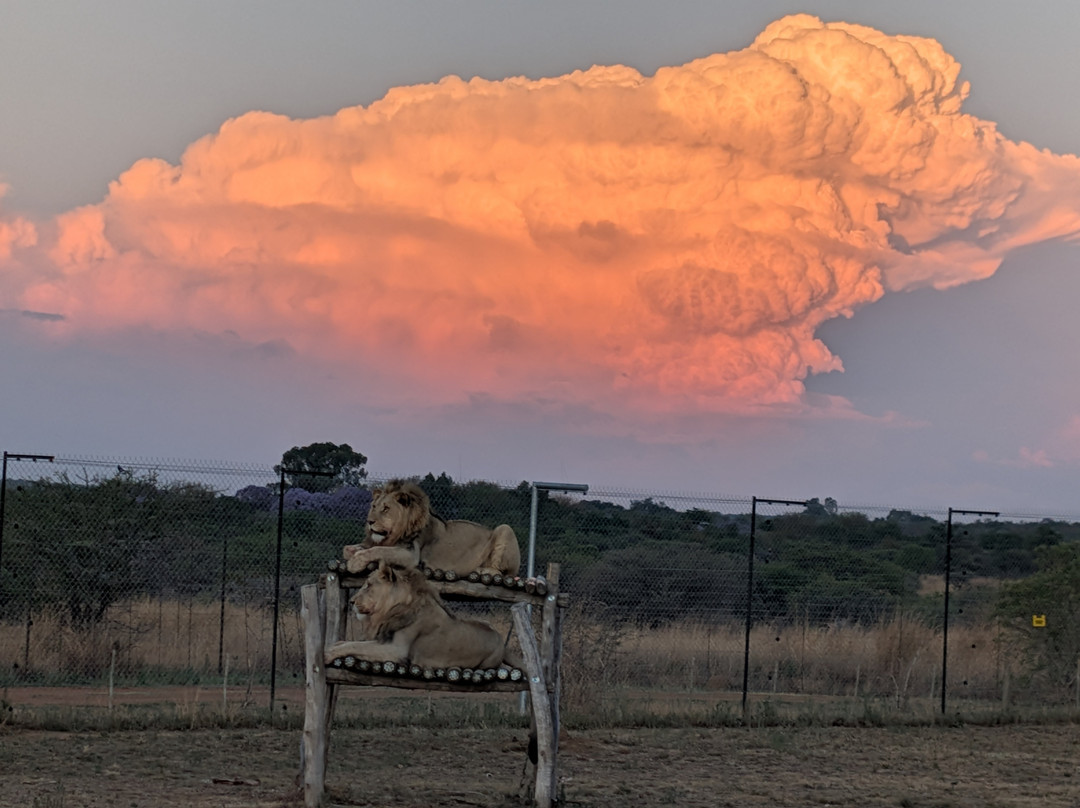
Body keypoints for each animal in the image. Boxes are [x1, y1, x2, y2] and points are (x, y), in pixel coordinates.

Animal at [326, 561, 521, 670]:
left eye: (368, 585)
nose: (352, 601)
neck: (390, 611)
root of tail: (501, 641)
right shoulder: (385, 641)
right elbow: (351, 643)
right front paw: (334, 645)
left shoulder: (397, 651)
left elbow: (357, 646)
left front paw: (328, 653)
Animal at [342, 479, 521, 577]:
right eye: (374, 506)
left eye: (386, 509)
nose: (369, 521)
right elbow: (351, 548)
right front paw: (353, 551)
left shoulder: (411, 555)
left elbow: (378, 550)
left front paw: (355, 562)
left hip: (505, 528)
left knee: (504, 572)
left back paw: (481, 570)